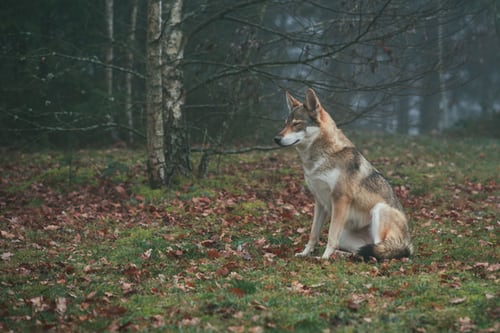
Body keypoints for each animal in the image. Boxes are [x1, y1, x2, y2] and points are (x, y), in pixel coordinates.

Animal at [276, 87, 412, 260]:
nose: (276, 138)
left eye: (297, 124)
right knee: (360, 251)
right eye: (285, 124)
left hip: (379, 210)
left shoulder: (340, 199)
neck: (319, 158)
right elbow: (313, 234)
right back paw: (344, 255)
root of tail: (409, 245)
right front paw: (305, 254)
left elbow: (330, 236)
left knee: (379, 251)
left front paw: (324, 258)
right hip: (346, 235)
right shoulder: (320, 202)